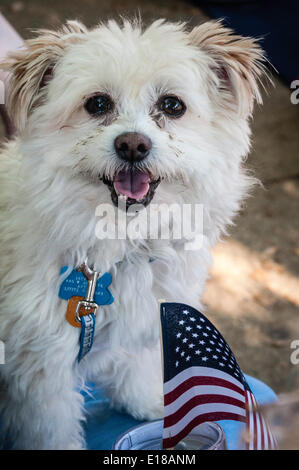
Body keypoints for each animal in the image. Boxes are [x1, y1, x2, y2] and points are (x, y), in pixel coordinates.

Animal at [0, 20, 268, 450]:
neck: (121, 240)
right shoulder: (42, 367)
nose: (132, 145)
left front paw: (151, 404)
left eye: (173, 105)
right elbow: (51, 427)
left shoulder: (143, 316)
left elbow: (135, 365)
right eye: (97, 104)